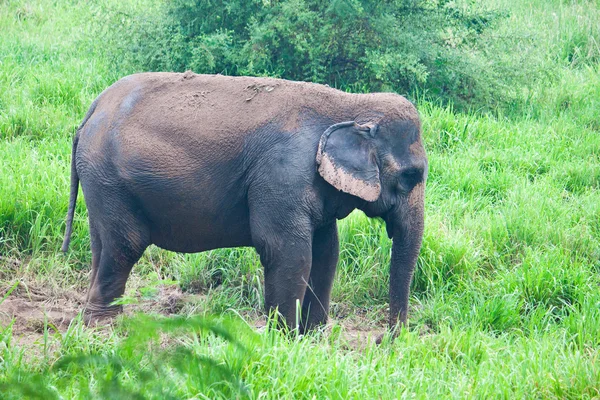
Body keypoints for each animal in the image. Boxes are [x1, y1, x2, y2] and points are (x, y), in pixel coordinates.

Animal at [59, 72, 426, 334]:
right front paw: (283, 340)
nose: (384, 341)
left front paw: (314, 338)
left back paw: (91, 320)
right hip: (110, 177)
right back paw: (106, 326)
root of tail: (94, 107)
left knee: (102, 243)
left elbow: (326, 251)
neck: (351, 104)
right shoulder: (282, 174)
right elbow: (288, 250)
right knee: (125, 243)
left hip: (100, 181)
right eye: (411, 176)